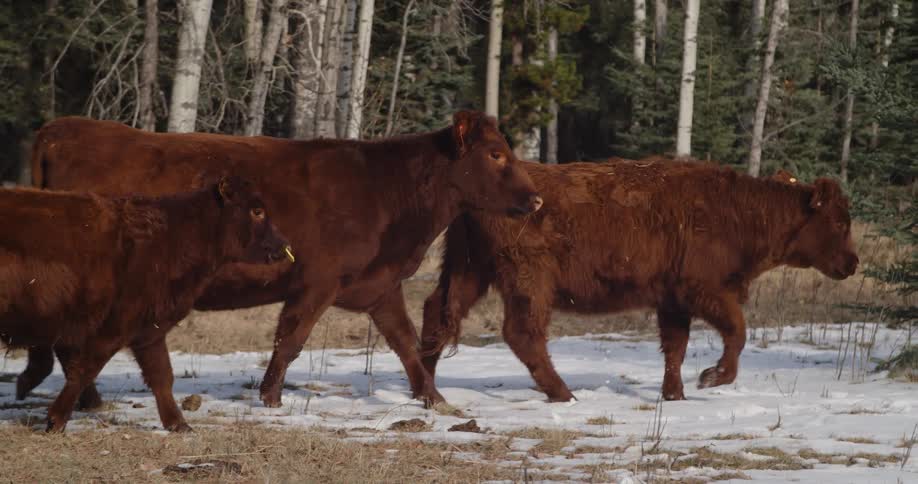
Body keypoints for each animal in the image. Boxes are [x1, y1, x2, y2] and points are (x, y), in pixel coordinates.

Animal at [0, 176, 290, 431]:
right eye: (257, 210)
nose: (283, 245)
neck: (172, 237)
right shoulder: (112, 329)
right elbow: (83, 370)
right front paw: (56, 420)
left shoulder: (149, 331)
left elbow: (162, 376)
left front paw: (179, 424)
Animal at [20, 111, 541, 409]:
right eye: (496, 155)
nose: (535, 198)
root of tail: (61, 129)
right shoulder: (317, 281)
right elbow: (290, 340)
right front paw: (269, 398)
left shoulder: (378, 284)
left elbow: (406, 342)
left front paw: (434, 398)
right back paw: (84, 398)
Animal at [419, 158, 859, 402]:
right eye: (839, 221)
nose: (853, 263)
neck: (739, 212)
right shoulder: (704, 291)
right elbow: (737, 332)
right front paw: (712, 378)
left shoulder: (673, 300)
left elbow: (676, 347)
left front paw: (675, 393)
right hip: (528, 278)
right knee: (523, 333)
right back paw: (563, 393)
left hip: (469, 270)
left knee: (438, 312)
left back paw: (427, 389)